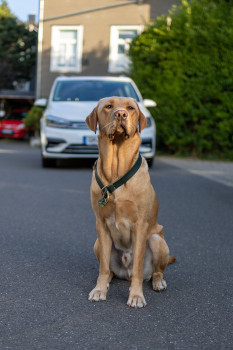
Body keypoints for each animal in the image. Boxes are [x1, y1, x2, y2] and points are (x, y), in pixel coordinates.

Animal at [84, 97, 174, 308]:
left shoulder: (140, 225)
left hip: (157, 240)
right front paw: (99, 290)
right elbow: (103, 267)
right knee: (108, 268)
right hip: (97, 243)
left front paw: (136, 296)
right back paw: (108, 279)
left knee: (154, 271)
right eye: (109, 106)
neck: (116, 170)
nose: (121, 114)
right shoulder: (101, 224)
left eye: (130, 108)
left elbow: (139, 268)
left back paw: (158, 281)